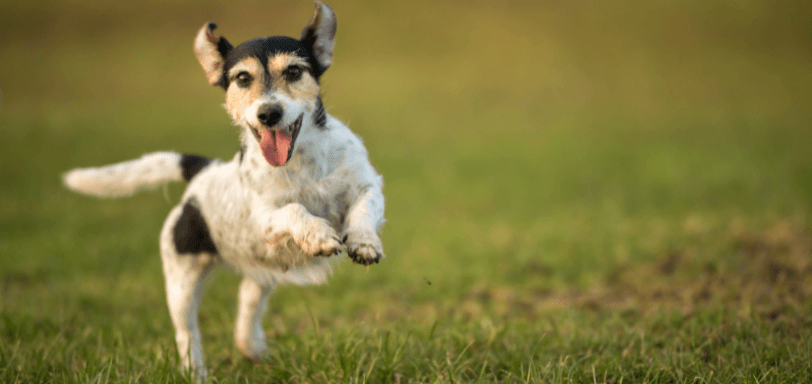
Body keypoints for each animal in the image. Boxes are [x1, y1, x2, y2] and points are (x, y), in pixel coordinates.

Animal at [61, 1, 386, 376]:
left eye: (293, 71)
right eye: (242, 78)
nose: (269, 113)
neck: (301, 163)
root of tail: (204, 172)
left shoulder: (368, 185)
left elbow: (362, 210)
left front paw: (364, 243)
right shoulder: (264, 219)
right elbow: (295, 210)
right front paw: (318, 235)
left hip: (262, 272)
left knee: (247, 300)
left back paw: (252, 347)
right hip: (181, 283)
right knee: (187, 333)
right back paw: (195, 372)